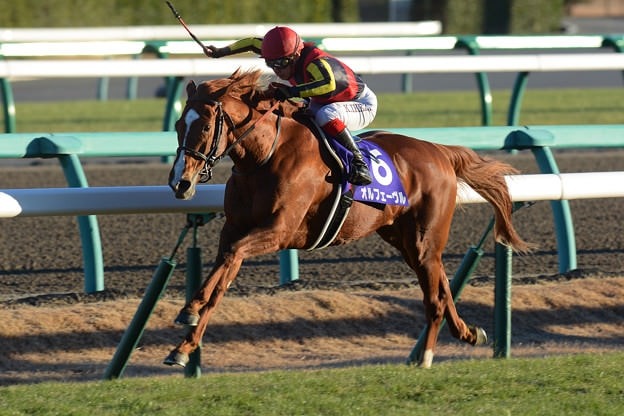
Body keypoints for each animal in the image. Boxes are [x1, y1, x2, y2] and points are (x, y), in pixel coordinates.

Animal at [163, 69, 528, 370]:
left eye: (205, 126)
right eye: (179, 126)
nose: (180, 183)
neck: (264, 157)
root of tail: (439, 152)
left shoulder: (278, 231)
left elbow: (229, 260)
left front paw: (190, 315)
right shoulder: (236, 228)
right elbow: (222, 274)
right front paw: (184, 339)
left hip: (425, 238)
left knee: (435, 296)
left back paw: (426, 356)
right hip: (403, 240)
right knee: (441, 284)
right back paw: (467, 333)